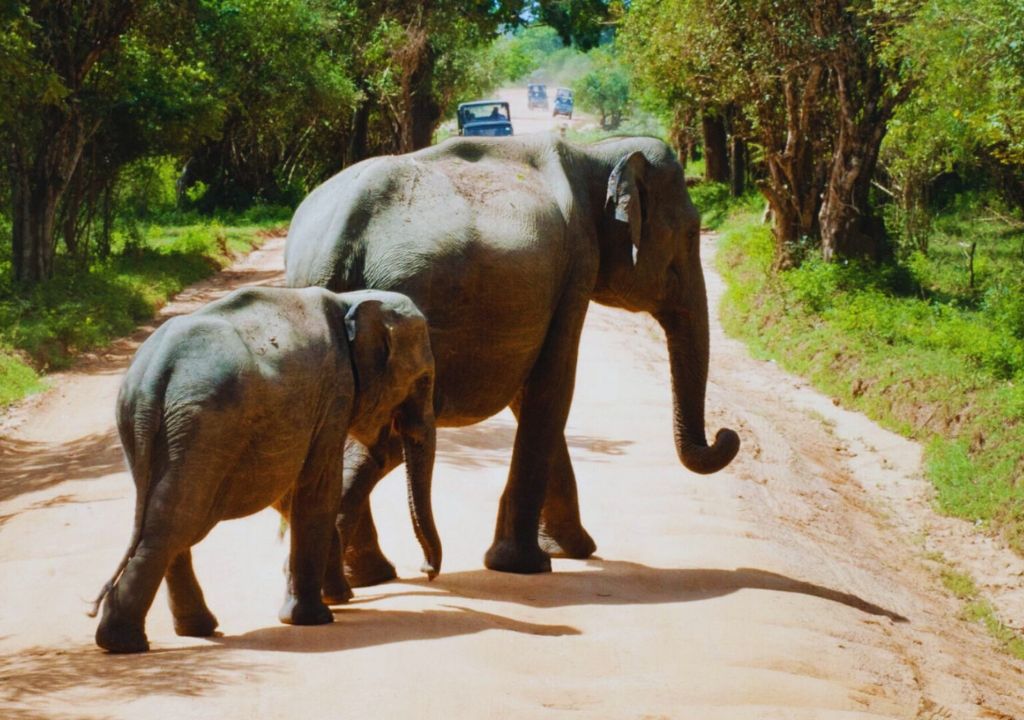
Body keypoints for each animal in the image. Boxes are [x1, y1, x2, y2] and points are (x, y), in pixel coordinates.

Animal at [89, 287, 440, 653]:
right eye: (423, 380)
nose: (427, 570)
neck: (349, 301)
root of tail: (156, 372)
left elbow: (292, 492)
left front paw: (335, 598)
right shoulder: (335, 393)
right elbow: (317, 489)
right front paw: (315, 617)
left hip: (150, 424)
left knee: (168, 517)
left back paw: (185, 631)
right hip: (204, 425)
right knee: (176, 522)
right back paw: (125, 642)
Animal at [284, 133, 740, 591]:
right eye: (690, 233)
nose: (726, 434)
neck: (595, 153)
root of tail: (331, 244)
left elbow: (530, 393)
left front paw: (569, 550)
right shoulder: (576, 263)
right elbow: (553, 385)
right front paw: (526, 563)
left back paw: (366, 576)